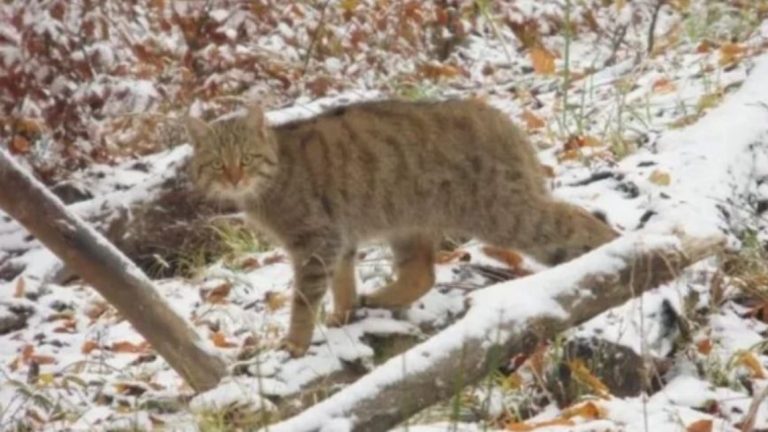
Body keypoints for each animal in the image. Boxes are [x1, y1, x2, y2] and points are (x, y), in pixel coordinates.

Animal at [182, 99, 616, 356]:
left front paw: (294, 343)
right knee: (422, 274)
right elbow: (343, 281)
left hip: (505, 214)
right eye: (217, 163)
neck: (274, 176)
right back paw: (377, 299)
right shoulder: (340, 238)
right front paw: (342, 314)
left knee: (581, 224)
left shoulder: (315, 242)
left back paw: (617, 258)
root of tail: (501, 117)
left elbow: (304, 301)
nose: (234, 178)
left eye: (247, 158)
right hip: (409, 223)